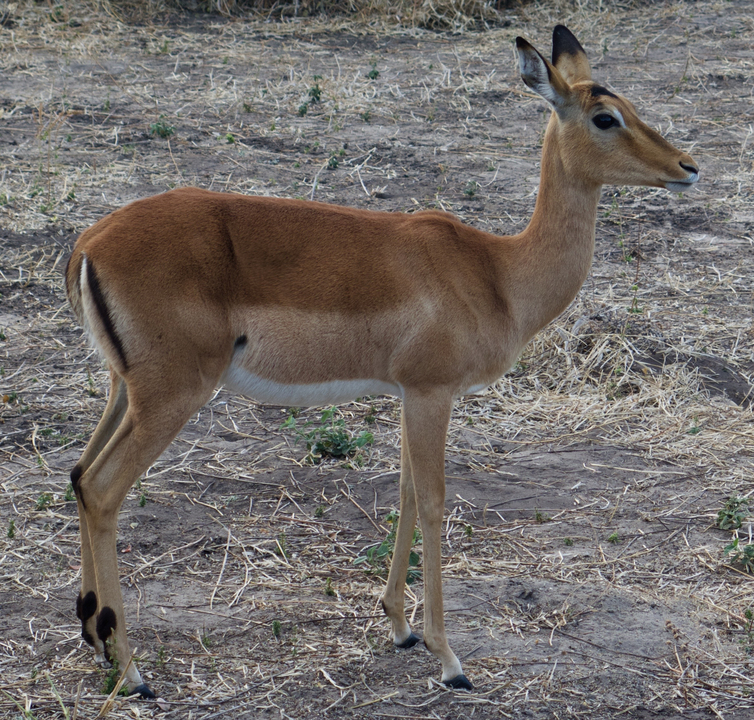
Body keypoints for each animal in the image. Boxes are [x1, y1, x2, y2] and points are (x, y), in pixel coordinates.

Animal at [64, 26, 698, 697]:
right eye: (606, 117)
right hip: (172, 395)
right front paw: (450, 661)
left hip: (124, 389)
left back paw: (96, 638)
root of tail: (89, 244)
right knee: (103, 489)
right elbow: (435, 501)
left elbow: (405, 492)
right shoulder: (431, 393)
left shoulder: (406, 395)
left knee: (79, 474)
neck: (498, 274)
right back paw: (132, 672)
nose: (688, 167)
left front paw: (400, 628)